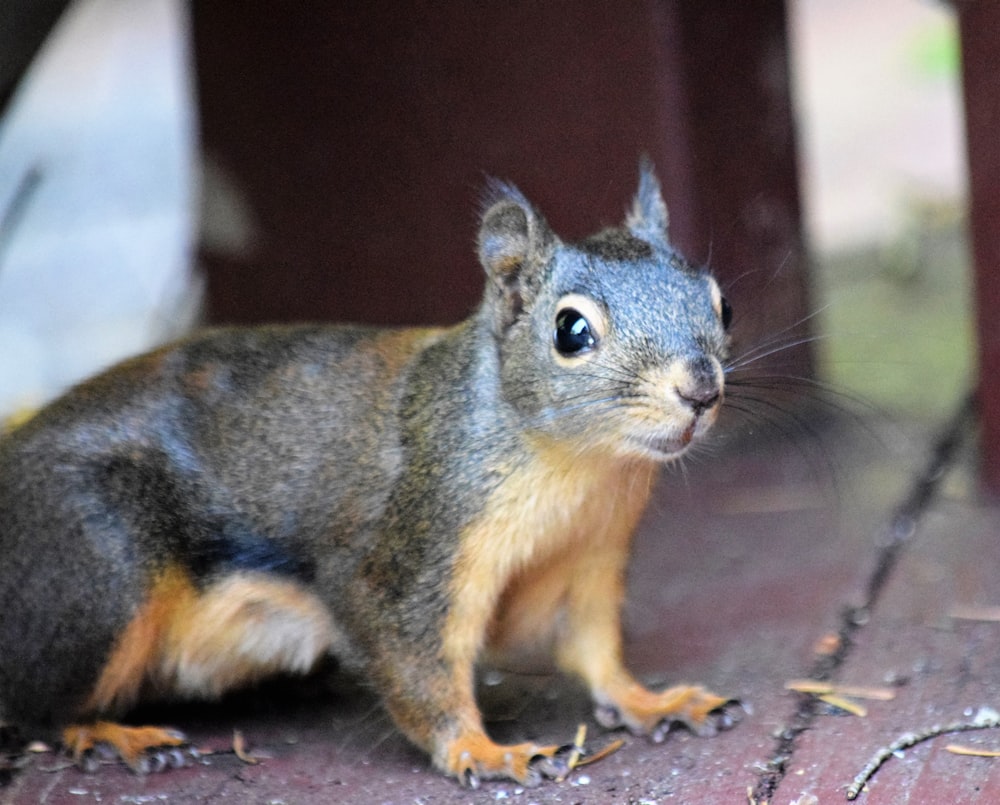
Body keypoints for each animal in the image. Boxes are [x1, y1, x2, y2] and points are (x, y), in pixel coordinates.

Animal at [0, 162, 736, 784]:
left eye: (721, 303)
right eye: (571, 330)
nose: (701, 389)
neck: (582, 468)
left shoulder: (587, 555)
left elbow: (592, 650)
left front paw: (652, 699)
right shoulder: (411, 555)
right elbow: (419, 666)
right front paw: (483, 750)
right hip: (99, 571)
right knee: (42, 704)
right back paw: (114, 735)